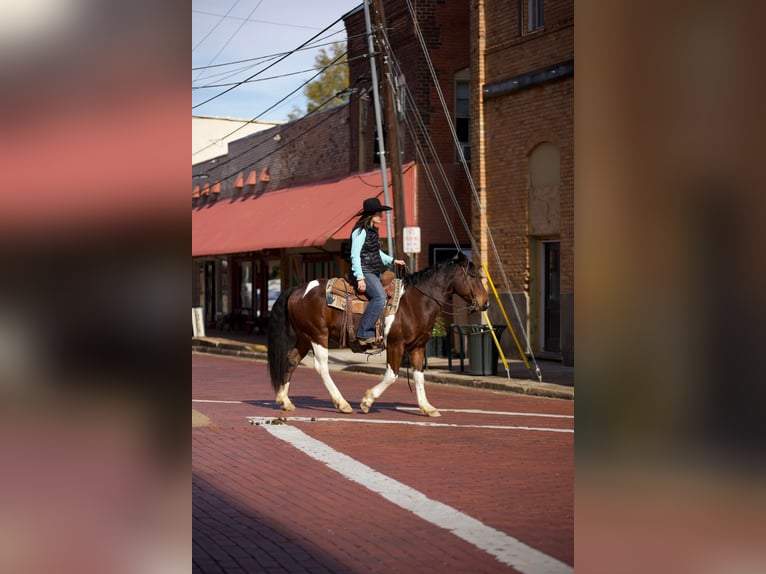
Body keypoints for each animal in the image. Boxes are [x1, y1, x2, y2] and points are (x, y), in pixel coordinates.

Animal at [268, 253, 488, 418]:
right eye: (473, 276)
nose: (485, 303)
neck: (416, 302)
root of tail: (297, 289)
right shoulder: (396, 344)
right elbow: (392, 375)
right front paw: (367, 401)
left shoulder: (418, 347)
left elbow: (419, 377)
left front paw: (427, 407)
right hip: (318, 336)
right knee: (321, 367)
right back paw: (342, 403)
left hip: (305, 336)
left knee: (292, 359)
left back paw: (285, 400)